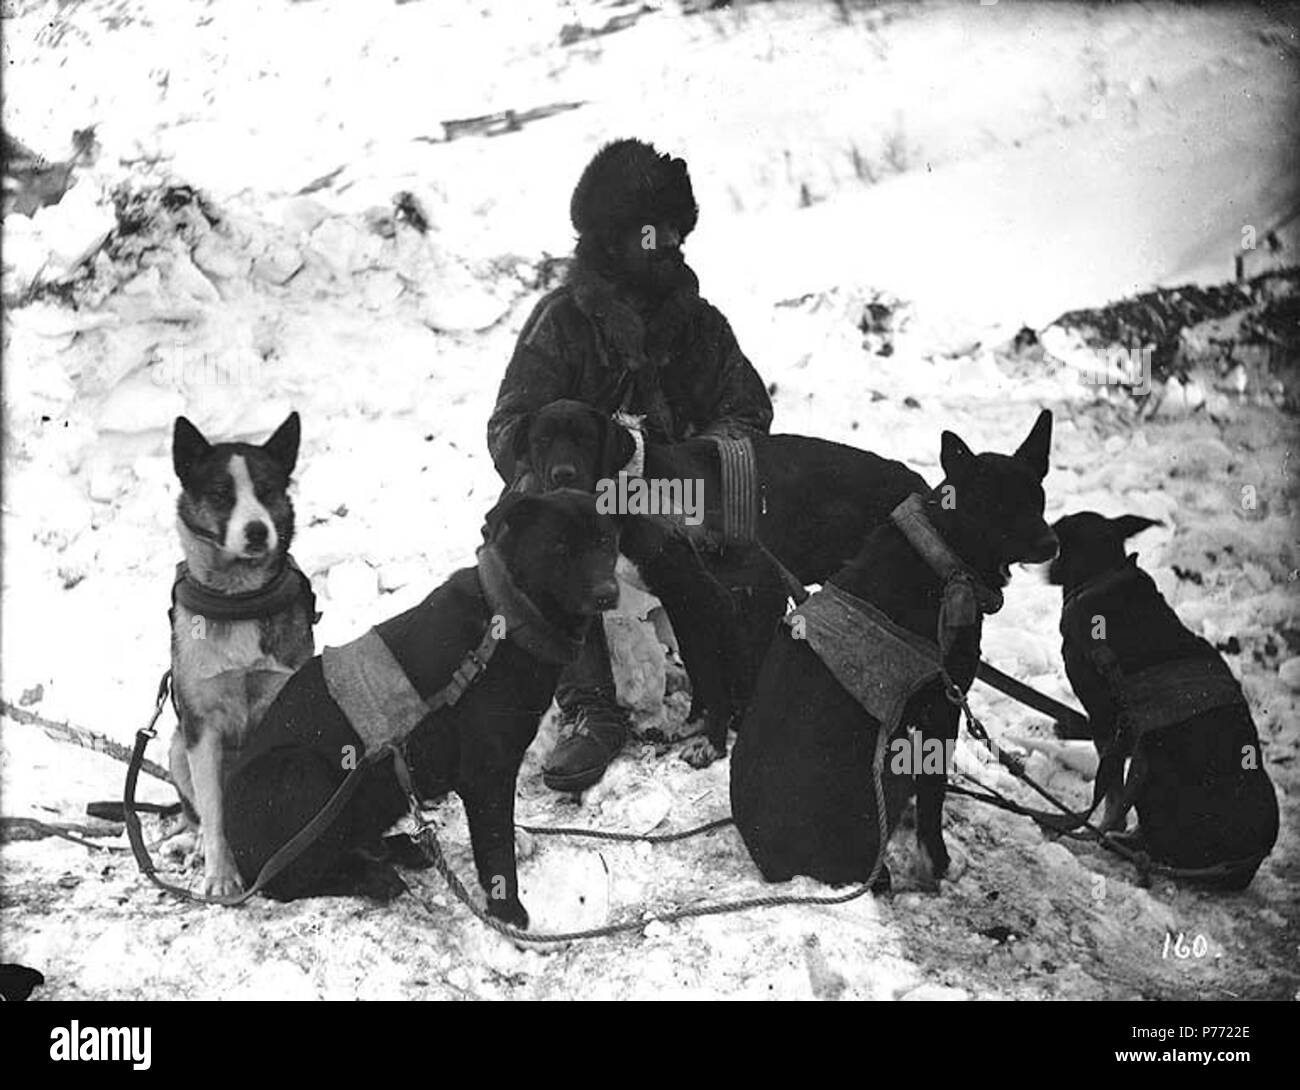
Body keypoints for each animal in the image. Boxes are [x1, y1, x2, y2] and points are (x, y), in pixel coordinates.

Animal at [166, 413, 315, 900]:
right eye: (220, 494)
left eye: (267, 490)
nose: (257, 531)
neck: (240, 599)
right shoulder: (201, 727)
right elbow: (214, 813)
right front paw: (221, 875)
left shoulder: (282, 701)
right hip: (176, 746)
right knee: (195, 812)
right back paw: (195, 846)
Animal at [223, 494, 618, 931]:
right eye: (561, 548)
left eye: (606, 541)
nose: (609, 593)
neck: (504, 619)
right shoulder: (486, 775)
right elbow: (497, 854)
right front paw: (508, 913)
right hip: (300, 770)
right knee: (292, 881)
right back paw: (374, 877)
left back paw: (398, 849)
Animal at [512, 398, 930, 764]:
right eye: (541, 441)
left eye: (585, 438)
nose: (561, 475)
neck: (636, 483)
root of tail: (918, 482)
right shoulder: (686, 603)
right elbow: (702, 670)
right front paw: (694, 726)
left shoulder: (717, 600)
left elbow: (719, 674)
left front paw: (712, 742)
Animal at [733, 413, 1055, 889]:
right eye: (998, 505)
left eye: (1038, 498)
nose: (1052, 544)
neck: (942, 554)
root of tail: (775, 863)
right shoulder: (945, 705)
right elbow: (933, 800)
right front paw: (937, 864)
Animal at [1045, 512, 1279, 889]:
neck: (1103, 572)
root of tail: (1245, 862)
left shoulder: (1106, 720)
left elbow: (1110, 787)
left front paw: (1106, 824)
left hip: (1158, 777)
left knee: (1156, 840)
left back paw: (1124, 844)